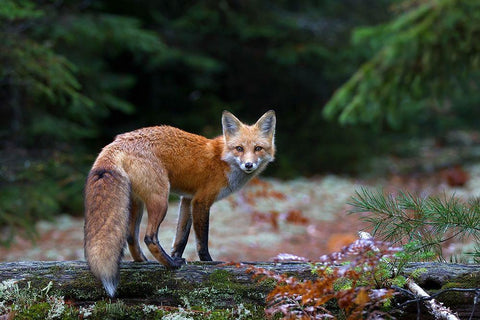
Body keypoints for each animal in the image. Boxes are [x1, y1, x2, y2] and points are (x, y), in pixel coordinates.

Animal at [84, 111, 276, 296]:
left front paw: (176, 255)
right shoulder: (201, 201)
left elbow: (181, 238)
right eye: (239, 148)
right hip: (161, 200)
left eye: (258, 148)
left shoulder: (187, 200)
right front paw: (208, 263)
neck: (222, 160)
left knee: (131, 237)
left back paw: (146, 262)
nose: (248, 165)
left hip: (137, 203)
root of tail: (117, 142)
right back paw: (171, 265)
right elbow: (202, 242)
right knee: (149, 237)